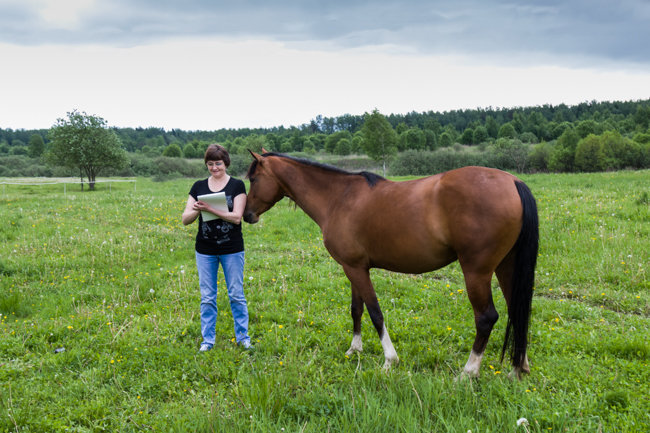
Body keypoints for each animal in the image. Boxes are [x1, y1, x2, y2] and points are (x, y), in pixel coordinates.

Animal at [243, 151, 536, 378]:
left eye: (253, 179)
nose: (246, 215)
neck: (339, 198)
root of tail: (513, 181)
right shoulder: (354, 267)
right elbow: (357, 309)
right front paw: (355, 349)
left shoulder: (355, 268)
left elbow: (375, 312)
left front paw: (389, 360)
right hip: (506, 266)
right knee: (517, 308)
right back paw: (518, 368)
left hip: (477, 271)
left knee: (487, 317)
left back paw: (468, 372)